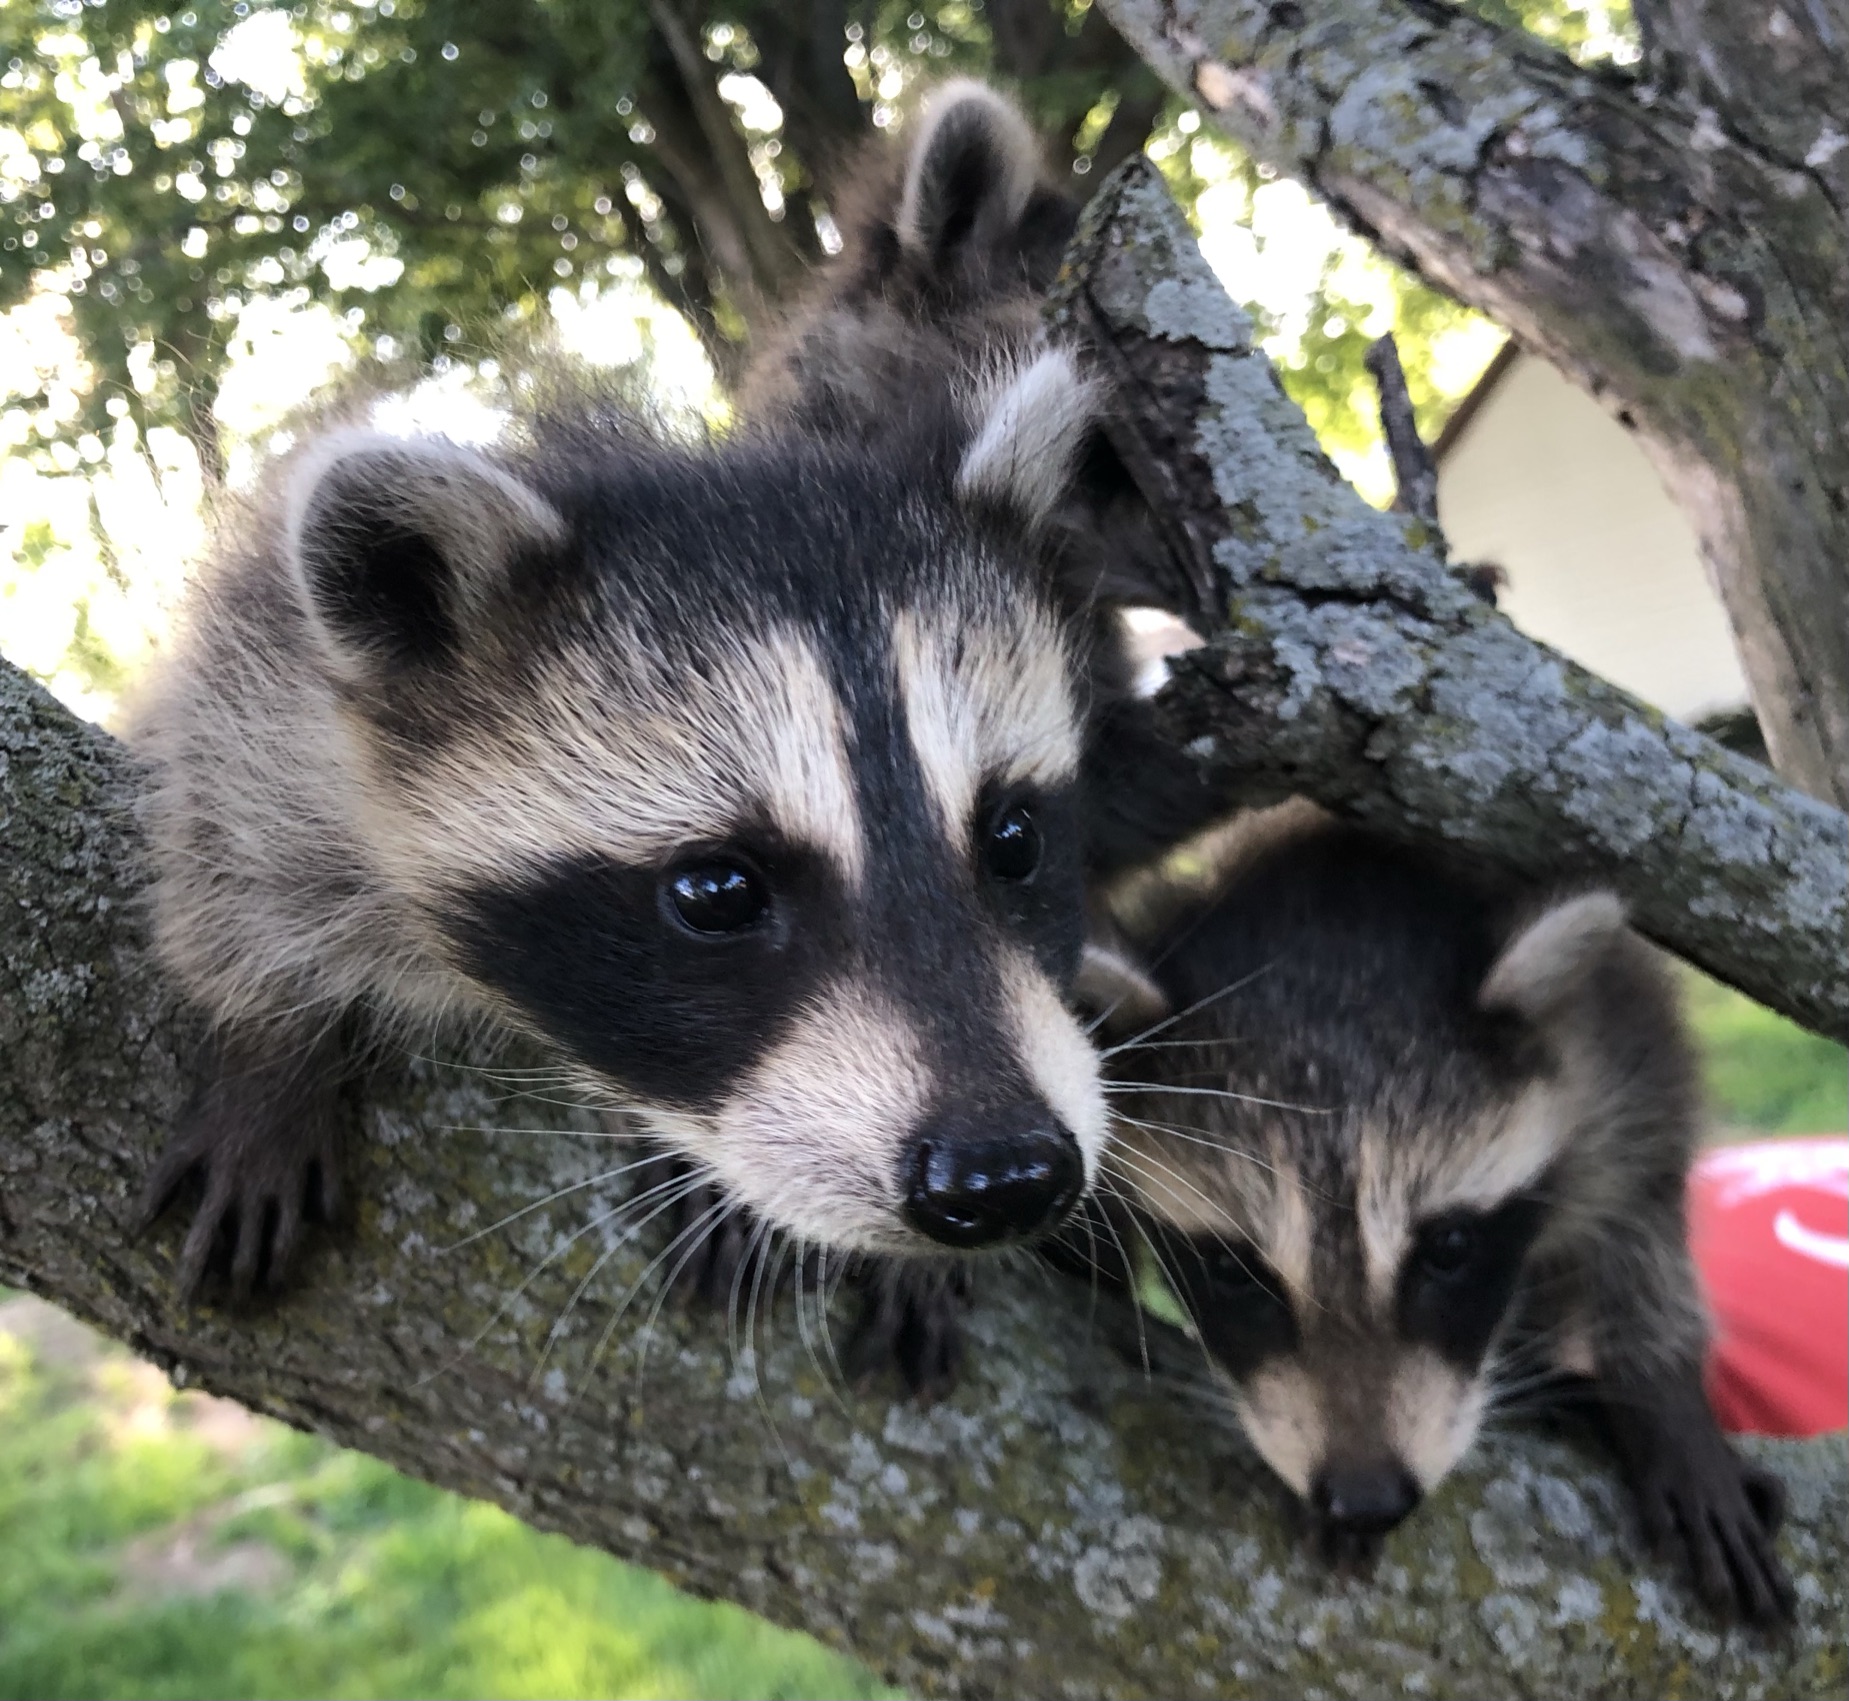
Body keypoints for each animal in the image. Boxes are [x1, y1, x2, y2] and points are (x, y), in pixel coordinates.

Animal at [132, 360, 1117, 1298]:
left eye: (1014, 840)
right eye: (716, 892)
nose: (1005, 1173)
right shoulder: (274, 695)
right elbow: (229, 836)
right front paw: (271, 1045)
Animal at [1100, 804, 1794, 1625]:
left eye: (1450, 1247)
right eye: (1231, 1270)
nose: (1366, 1498)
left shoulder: (1619, 1041)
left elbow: (1641, 1201)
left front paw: (1664, 1395)